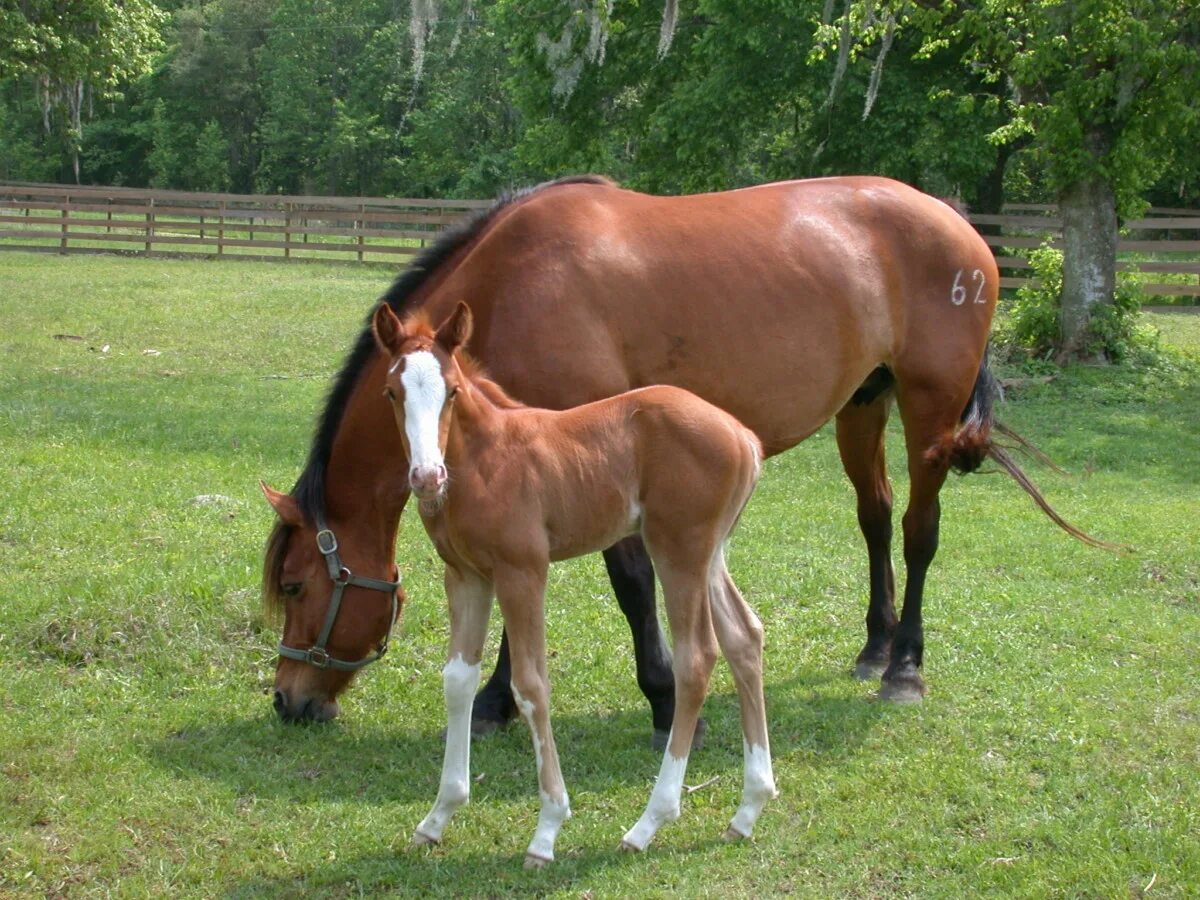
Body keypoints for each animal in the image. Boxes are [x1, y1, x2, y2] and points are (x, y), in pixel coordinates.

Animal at [260, 174, 1099, 739]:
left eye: (297, 586)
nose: (288, 699)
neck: (512, 289)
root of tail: (954, 221)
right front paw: (499, 700)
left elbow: (631, 583)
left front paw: (663, 695)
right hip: (864, 405)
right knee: (876, 519)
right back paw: (873, 645)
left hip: (930, 409)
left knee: (920, 531)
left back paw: (905, 668)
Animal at [364, 303, 772, 868]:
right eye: (391, 392)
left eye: (453, 391)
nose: (426, 477)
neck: (485, 461)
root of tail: (743, 436)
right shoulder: (466, 577)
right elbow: (457, 681)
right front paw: (438, 816)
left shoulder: (523, 571)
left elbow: (532, 684)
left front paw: (547, 830)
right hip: (711, 553)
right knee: (744, 637)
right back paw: (748, 810)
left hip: (679, 551)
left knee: (697, 658)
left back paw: (649, 823)